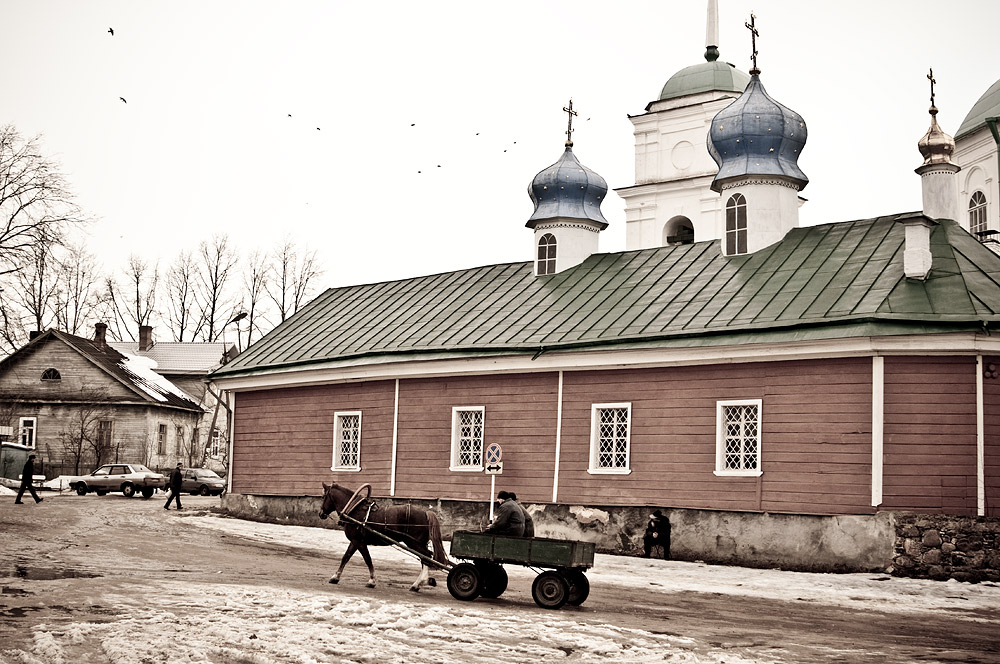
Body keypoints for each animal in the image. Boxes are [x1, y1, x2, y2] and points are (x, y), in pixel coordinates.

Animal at [320, 482, 450, 592]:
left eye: (323, 496)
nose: (321, 514)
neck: (354, 511)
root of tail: (426, 513)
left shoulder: (359, 541)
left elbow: (367, 559)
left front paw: (371, 581)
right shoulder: (355, 541)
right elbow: (346, 557)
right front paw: (335, 577)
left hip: (414, 543)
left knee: (426, 557)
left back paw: (418, 583)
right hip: (418, 543)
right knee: (426, 558)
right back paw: (422, 582)